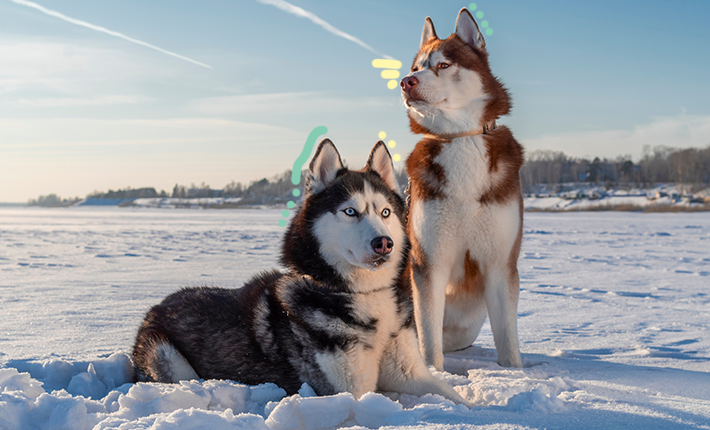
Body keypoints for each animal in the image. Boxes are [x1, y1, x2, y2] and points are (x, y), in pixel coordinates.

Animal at [131, 139, 470, 404]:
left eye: (385, 212)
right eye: (350, 211)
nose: (384, 243)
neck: (360, 293)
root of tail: (158, 305)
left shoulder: (411, 373)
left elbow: (456, 399)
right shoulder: (350, 390)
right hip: (171, 360)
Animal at [404, 7, 524, 370]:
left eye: (443, 65)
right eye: (416, 68)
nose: (405, 82)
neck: (461, 139)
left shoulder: (500, 263)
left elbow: (508, 341)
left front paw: (515, 374)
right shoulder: (429, 262)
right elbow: (429, 340)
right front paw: (434, 374)